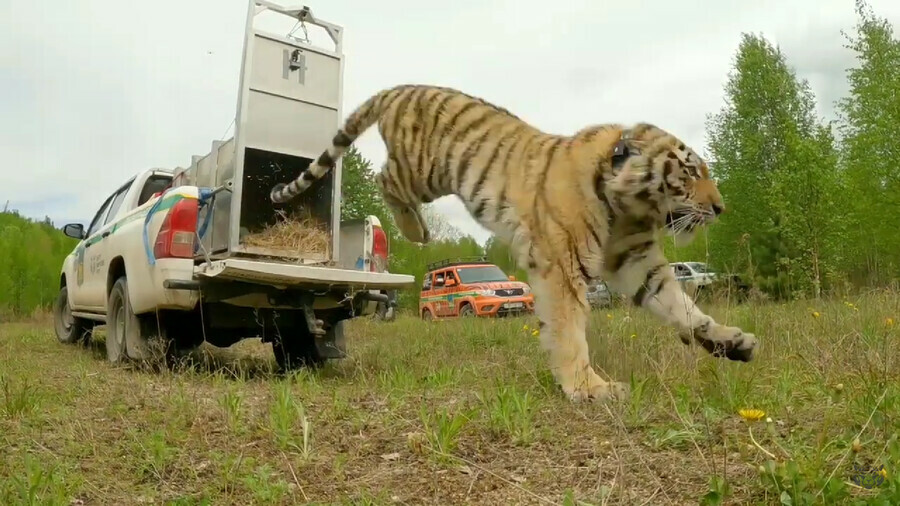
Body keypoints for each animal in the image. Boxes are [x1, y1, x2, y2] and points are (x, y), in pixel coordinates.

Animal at [268, 85, 760, 402]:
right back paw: (417, 231)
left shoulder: (638, 261)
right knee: (383, 177)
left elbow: (684, 307)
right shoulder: (563, 265)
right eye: (690, 172)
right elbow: (569, 330)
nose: (721, 208)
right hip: (423, 170)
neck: (627, 204)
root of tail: (401, 87)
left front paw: (730, 341)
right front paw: (589, 388)